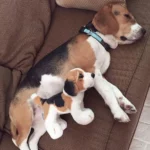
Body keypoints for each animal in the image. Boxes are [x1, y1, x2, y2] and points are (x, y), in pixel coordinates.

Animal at [9, 1, 145, 150]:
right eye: (126, 16)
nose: (144, 31)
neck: (97, 38)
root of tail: (11, 104)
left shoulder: (98, 75)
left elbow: (114, 89)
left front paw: (126, 104)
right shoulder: (94, 72)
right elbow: (108, 92)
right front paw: (119, 113)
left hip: (41, 122)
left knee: (32, 140)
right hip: (25, 119)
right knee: (20, 141)